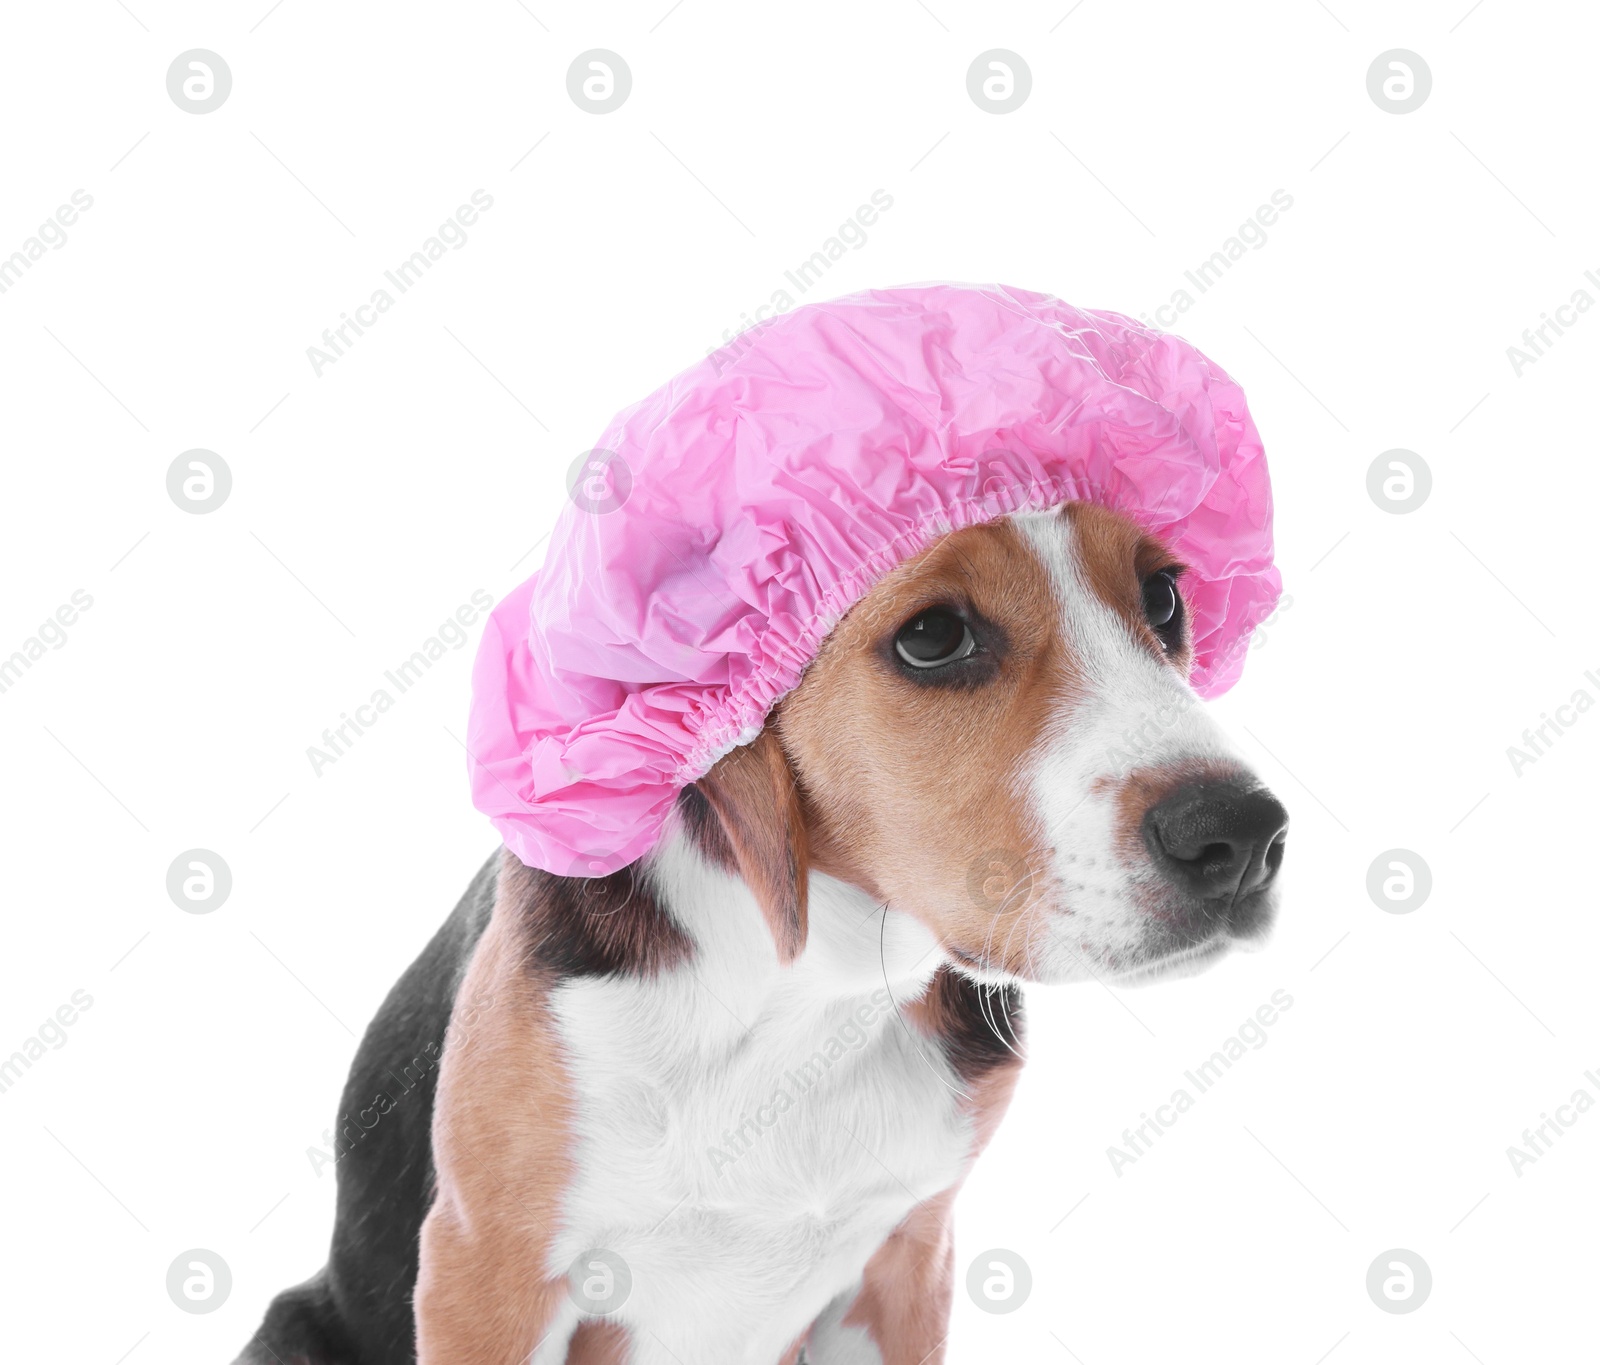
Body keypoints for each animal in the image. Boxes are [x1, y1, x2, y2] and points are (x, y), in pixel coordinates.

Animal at [236, 502, 1286, 1363]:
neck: (810, 994)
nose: (1241, 836)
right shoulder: (486, 1274)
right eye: (934, 636)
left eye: (1164, 599)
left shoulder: (906, 1265)